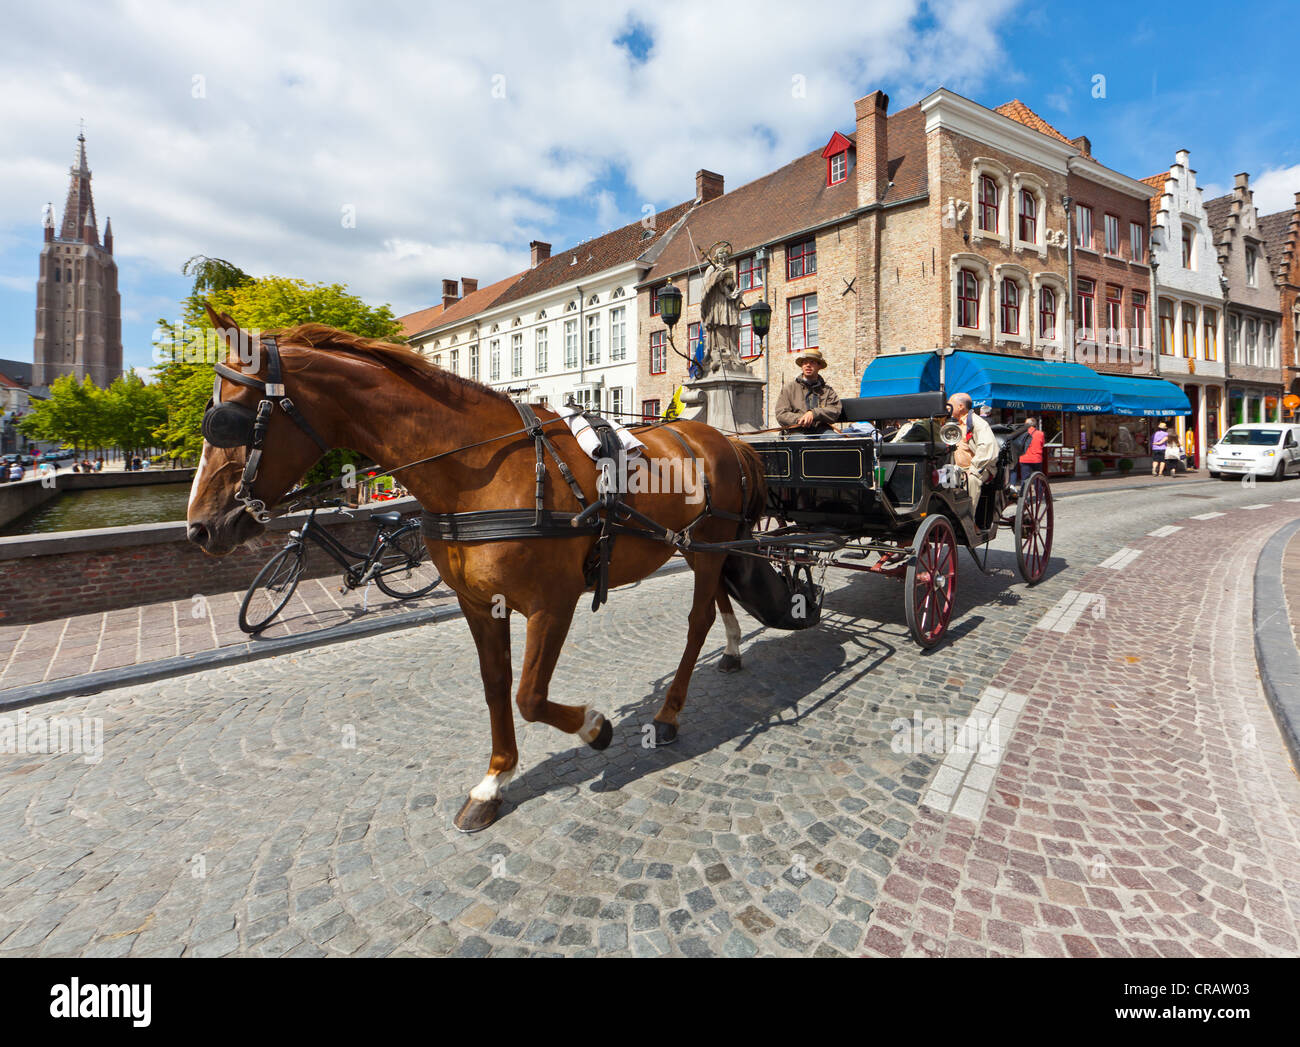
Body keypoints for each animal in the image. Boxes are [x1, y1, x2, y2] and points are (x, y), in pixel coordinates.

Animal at [188, 306, 764, 827]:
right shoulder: (479, 603)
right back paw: (733, 650)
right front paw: (494, 780)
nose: (199, 529)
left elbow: (529, 695)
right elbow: (495, 685)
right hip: (697, 546)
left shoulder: (553, 604)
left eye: (227, 418)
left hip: (708, 543)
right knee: (716, 596)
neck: (476, 473)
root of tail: (725, 438)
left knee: (696, 621)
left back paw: (668, 713)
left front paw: (595, 727)